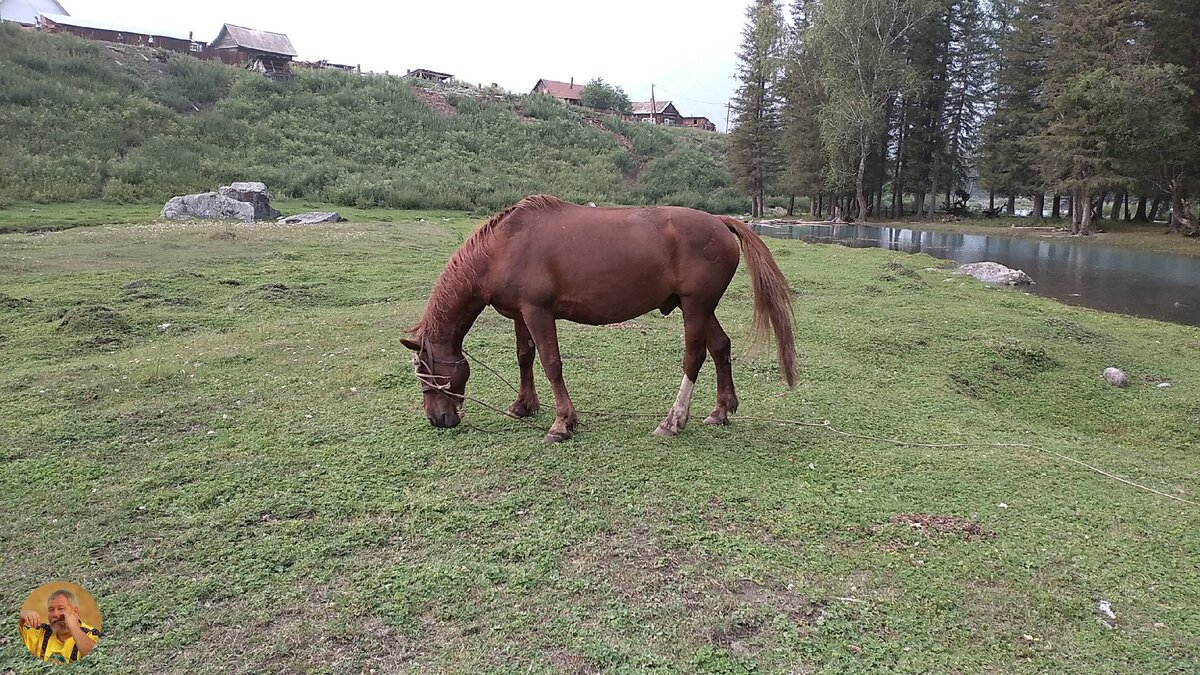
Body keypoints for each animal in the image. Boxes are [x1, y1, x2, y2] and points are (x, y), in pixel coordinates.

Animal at [400, 193, 796, 441]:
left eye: (428, 373)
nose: (436, 419)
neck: (502, 248)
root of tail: (719, 221)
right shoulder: (520, 315)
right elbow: (525, 357)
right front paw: (523, 405)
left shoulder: (538, 312)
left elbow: (551, 363)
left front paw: (562, 423)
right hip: (698, 306)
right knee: (720, 348)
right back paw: (720, 410)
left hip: (696, 307)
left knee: (694, 356)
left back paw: (673, 421)